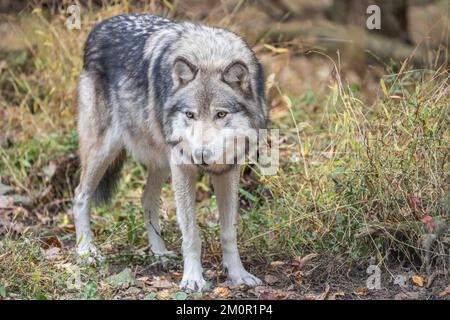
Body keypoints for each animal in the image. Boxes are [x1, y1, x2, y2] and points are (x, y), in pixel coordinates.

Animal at [74, 14, 268, 290]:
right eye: (190, 114)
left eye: (221, 114)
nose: (200, 156)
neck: (208, 55)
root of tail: (99, 26)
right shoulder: (183, 168)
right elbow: (191, 234)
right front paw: (193, 279)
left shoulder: (227, 170)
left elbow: (229, 232)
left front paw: (238, 275)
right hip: (105, 150)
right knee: (80, 195)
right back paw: (86, 252)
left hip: (162, 162)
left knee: (146, 199)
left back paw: (159, 252)